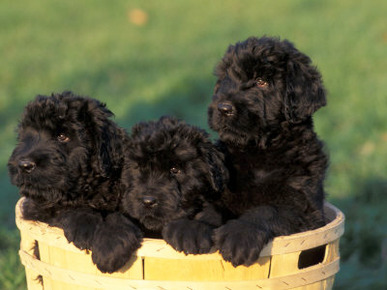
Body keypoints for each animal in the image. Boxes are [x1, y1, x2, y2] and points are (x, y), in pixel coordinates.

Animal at [7, 92, 142, 274]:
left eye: (62, 136)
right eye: (28, 135)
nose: (24, 165)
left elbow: (120, 215)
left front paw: (110, 249)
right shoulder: (37, 209)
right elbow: (63, 209)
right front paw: (85, 226)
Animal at [208, 36, 328, 268]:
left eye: (262, 81)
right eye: (227, 78)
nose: (223, 108)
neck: (259, 151)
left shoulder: (305, 210)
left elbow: (267, 209)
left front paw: (239, 237)